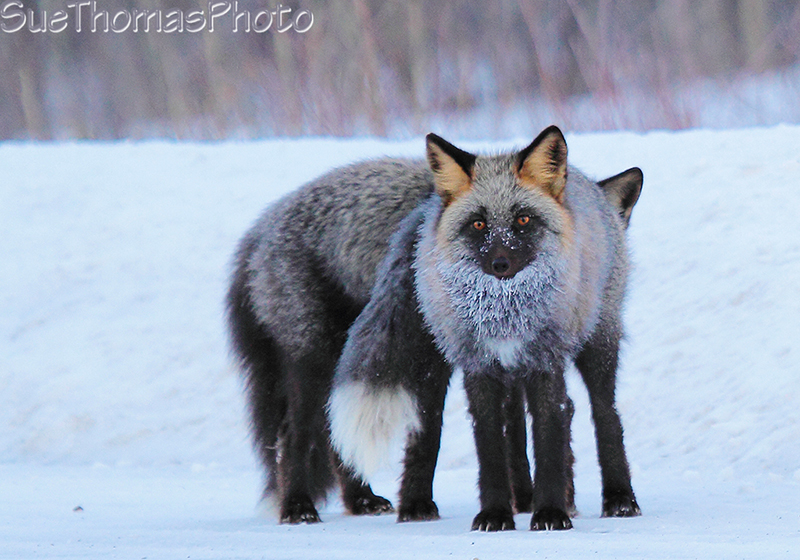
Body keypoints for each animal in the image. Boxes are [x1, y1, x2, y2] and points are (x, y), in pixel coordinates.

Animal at [328, 126, 643, 531]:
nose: (500, 264)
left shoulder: (545, 363)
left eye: (523, 220)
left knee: (605, 416)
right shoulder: (480, 367)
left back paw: (619, 498)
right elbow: (491, 446)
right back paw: (417, 504)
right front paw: (495, 514)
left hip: (599, 344)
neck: (503, 313)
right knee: (428, 427)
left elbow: (549, 438)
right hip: (436, 360)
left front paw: (550, 512)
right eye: (478, 224)